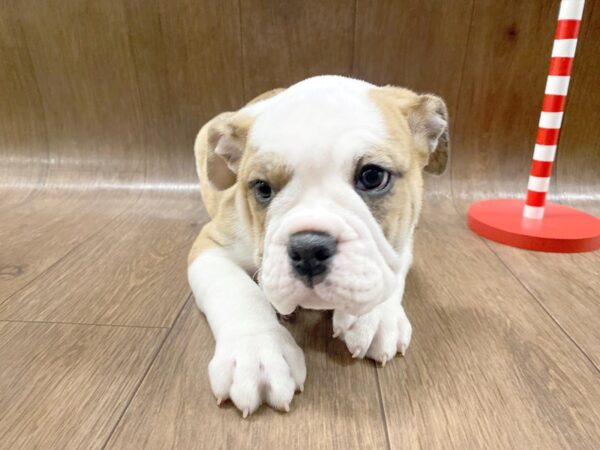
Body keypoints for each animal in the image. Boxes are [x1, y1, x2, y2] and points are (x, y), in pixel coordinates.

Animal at [189, 74, 450, 418]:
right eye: (262, 188)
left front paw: (376, 316)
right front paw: (256, 353)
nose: (308, 249)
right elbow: (236, 291)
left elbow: (391, 268)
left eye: (373, 176)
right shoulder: (211, 246)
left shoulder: (405, 239)